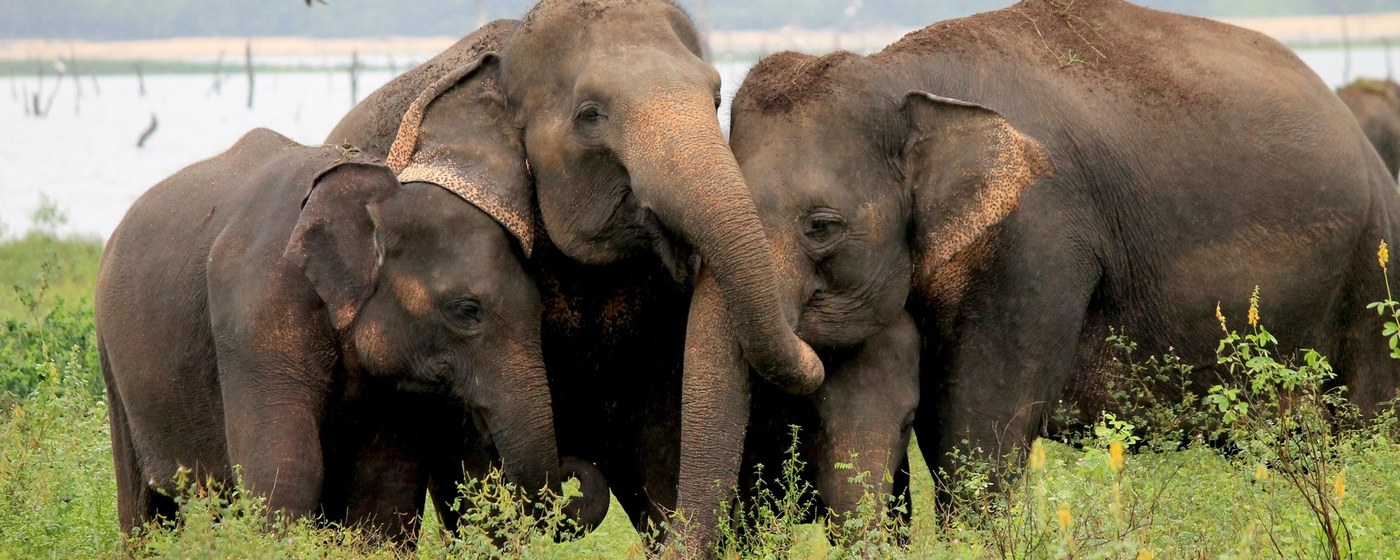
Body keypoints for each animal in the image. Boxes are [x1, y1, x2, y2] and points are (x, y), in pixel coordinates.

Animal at [97, 53, 606, 545]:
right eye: (466, 311)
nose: (574, 468)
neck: (377, 186)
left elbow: (383, 487)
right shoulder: (255, 309)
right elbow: (286, 472)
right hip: (112, 359)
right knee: (142, 507)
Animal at [726, 0, 1400, 522]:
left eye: (821, 227)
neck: (898, 76)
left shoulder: (1037, 236)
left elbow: (978, 428)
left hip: (1373, 269)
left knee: (1368, 422)